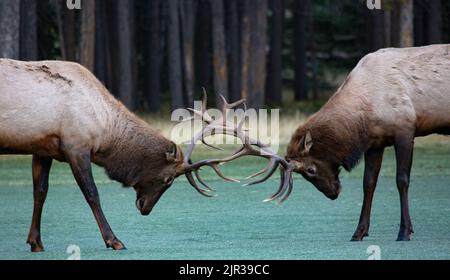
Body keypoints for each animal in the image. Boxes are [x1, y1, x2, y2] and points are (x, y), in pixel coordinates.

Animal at [0, 58, 288, 252]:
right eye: (168, 179)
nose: (145, 209)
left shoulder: (43, 147)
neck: (104, 128)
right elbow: (92, 193)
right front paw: (115, 240)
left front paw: (36, 242)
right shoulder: (76, 146)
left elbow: (40, 192)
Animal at [284, 44, 450, 241]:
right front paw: (359, 232)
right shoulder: (375, 143)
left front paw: (405, 231)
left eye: (311, 170)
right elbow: (368, 183)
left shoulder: (406, 130)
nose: (332, 194)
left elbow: (402, 180)